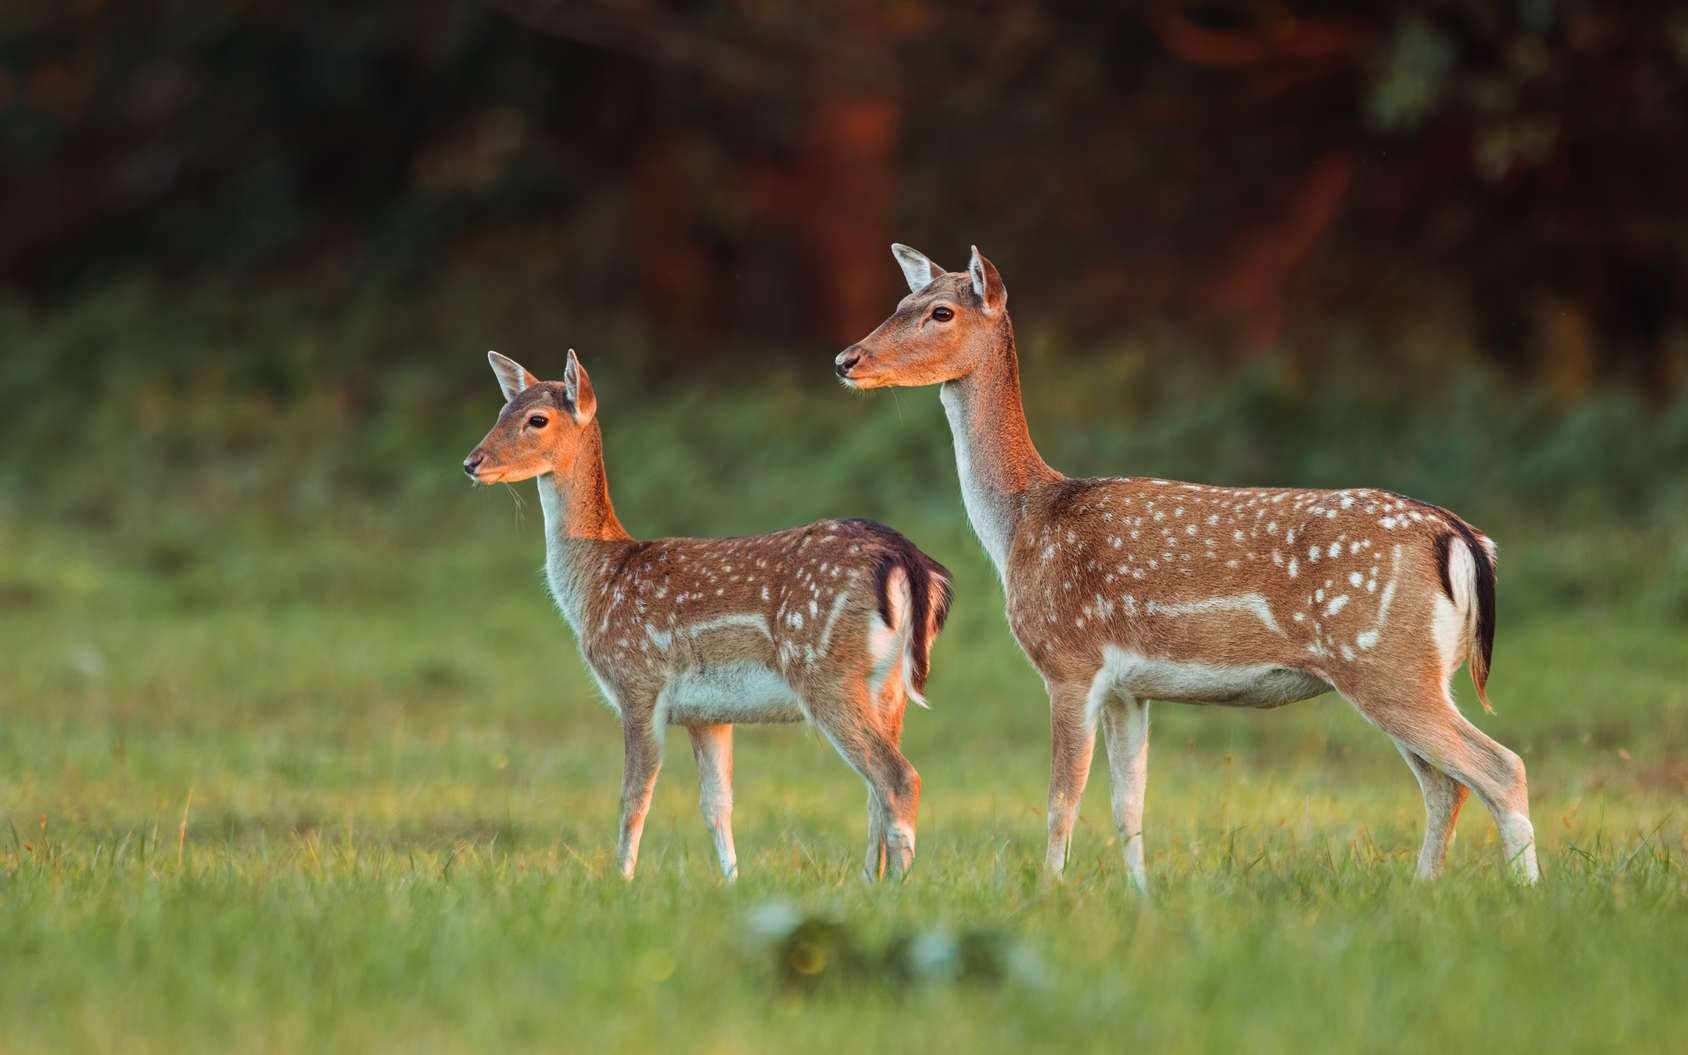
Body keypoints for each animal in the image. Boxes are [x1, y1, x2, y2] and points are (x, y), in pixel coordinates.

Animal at [462, 347, 952, 877]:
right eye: (502, 410)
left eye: (537, 419)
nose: (471, 462)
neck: (599, 581)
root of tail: (909, 559)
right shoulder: (708, 712)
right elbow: (717, 805)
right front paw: (732, 882)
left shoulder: (639, 682)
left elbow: (633, 798)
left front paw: (621, 880)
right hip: (889, 688)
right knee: (874, 790)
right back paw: (870, 882)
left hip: (826, 670)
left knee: (897, 778)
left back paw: (898, 884)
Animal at [833, 246, 1546, 891]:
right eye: (902, 302)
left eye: (941, 311)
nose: (846, 360)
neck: (1022, 524)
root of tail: (1460, 536)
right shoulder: (1129, 687)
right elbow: (1128, 804)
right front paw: (1140, 897)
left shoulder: (1069, 660)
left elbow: (1062, 798)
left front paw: (1049, 893)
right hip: (1407, 668)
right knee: (1446, 784)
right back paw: (1424, 889)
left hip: (1386, 661)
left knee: (1499, 767)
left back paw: (1527, 891)